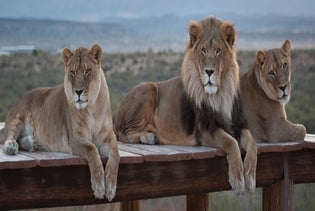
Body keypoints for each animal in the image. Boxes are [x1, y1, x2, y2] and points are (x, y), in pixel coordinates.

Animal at [0, 44, 120, 199]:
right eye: (72, 72)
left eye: (87, 71)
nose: (78, 91)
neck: (91, 108)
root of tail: (21, 97)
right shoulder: (76, 139)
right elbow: (92, 149)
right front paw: (99, 186)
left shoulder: (108, 137)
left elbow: (116, 154)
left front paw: (110, 187)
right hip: (17, 118)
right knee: (8, 137)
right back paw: (12, 146)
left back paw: (31, 144)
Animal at [115, 17, 258, 194]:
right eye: (203, 50)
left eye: (218, 51)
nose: (209, 72)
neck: (220, 93)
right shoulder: (205, 130)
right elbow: (231, 142)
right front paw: (237, 179)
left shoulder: (239, 124)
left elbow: (253, 143)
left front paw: (250, 178)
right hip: (148, 88)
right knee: (123, 133)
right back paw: (148, 138)